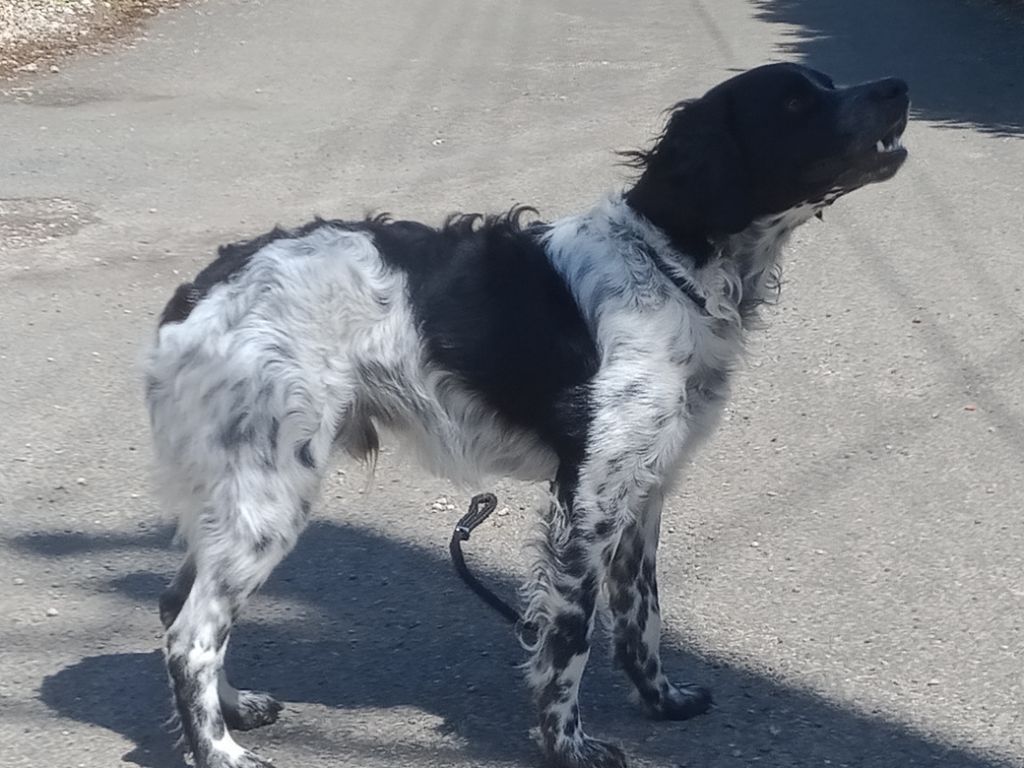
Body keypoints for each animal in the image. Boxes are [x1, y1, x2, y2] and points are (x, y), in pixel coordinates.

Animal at [146, 61, 913, 768]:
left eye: (826, 83)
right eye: (793, 101)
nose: (898, 88)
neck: (673, 266)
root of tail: (197, 295)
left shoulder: (644, 489)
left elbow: (642, 616)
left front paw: (661, 701)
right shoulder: (588, 497)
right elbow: (570, 639)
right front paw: (569, 745)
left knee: (177, 605)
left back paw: (236, 709)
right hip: (270, 493)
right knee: (191, 635)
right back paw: (221, 752)